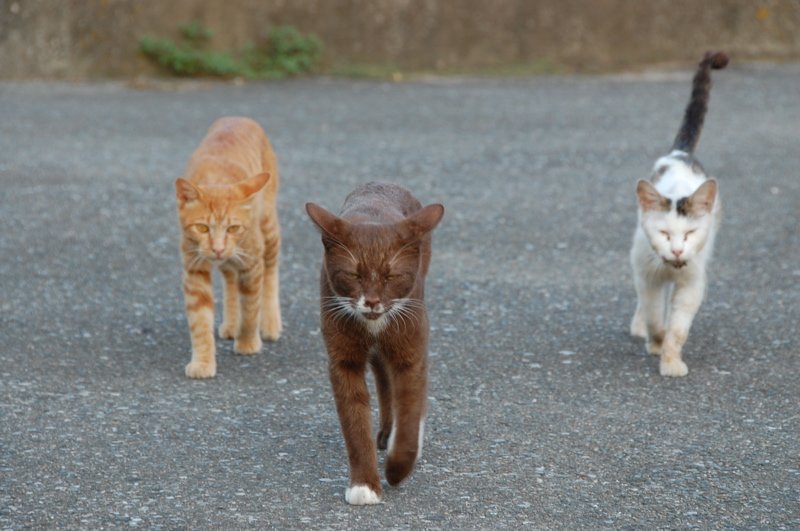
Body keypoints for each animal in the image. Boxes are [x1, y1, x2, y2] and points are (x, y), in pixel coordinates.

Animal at [175, 117, 282, 379]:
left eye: (233, 228)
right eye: (202, 228)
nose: (218, 248)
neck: (218, 179)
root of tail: (239, 117)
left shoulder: (252, 262)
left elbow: (251, 306)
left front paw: (247, 342)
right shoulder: (194, 269)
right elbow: (200, 321)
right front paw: (203, 361)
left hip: (268, 229)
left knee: (271, 269)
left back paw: (270, 322)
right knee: (231, 280)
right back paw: (232, 323)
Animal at [305, 182, 444, 505]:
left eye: (391, 275)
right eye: (353, 274)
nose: (371, 301)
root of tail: (384, 184)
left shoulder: (410, 347)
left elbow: (410, 407)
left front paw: (397, 470)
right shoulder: (342, 356)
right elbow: (354, 420)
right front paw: (364, 486)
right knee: (382, 376)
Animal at [630, 51, 729, 377]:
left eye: (689, 233)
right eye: (663, 233)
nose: (675, 250)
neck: (671, 268)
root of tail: (680, 154)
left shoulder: (692, 283)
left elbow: (678, 328)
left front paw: (671, 361)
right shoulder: (648, 274)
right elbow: (654, 315)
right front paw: (656, 342)